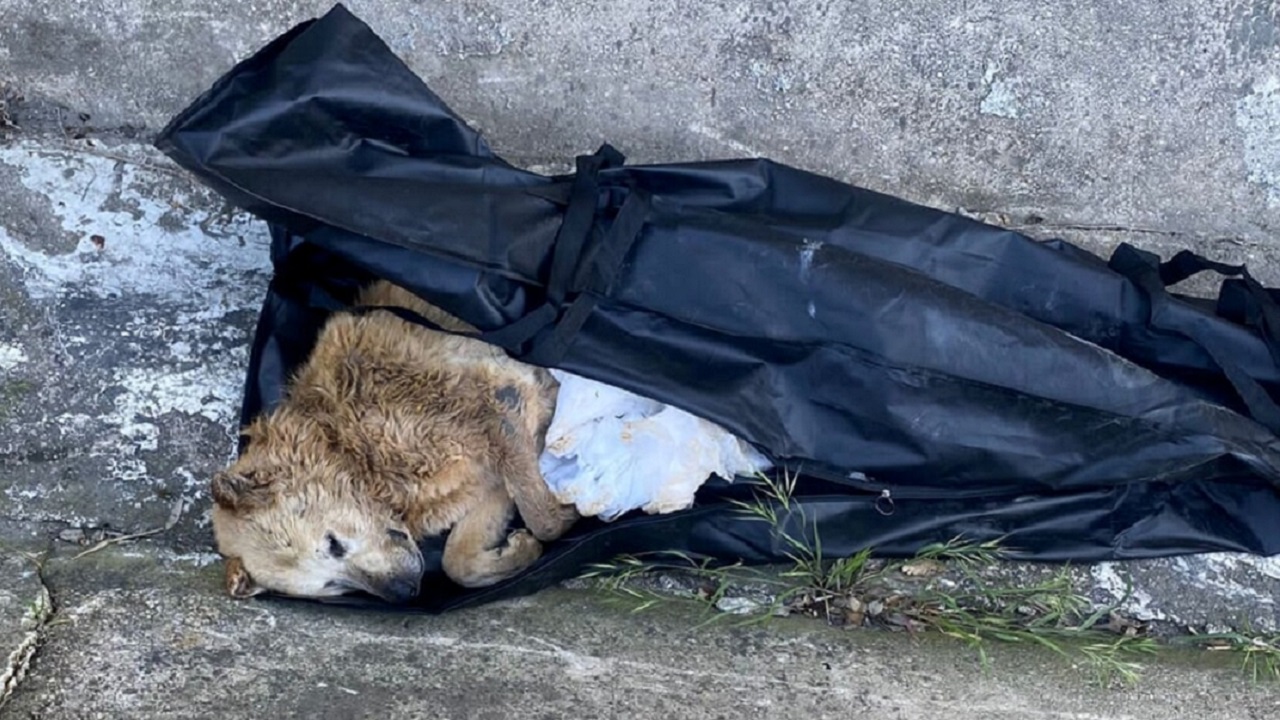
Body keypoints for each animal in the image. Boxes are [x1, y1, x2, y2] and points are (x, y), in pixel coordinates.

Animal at [211, 279, 581, 599]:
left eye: (333, 544)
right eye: (333, 585)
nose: (405, 591)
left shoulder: (499, 401)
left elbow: (542, 519)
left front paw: (569, 514)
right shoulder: (489, 476)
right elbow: (459, 563)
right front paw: (519, 551)